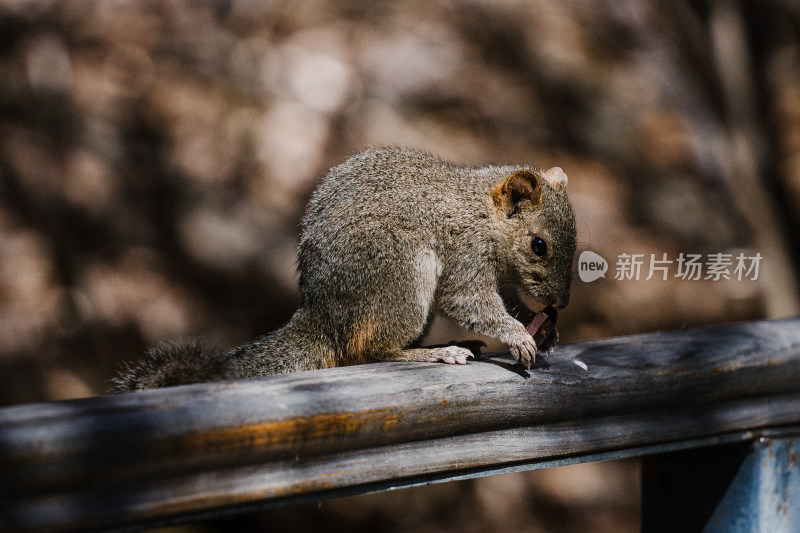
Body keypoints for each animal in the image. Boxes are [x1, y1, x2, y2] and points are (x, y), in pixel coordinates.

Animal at [112, 147, 576, 390]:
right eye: (538, 245)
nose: (560, 303)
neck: (482, 212)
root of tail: (325, 316)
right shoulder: (466, 254)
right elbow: (468, 301)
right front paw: (518, 335)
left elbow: (509, 298)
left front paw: (541, 325)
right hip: (402, 275)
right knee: (372, 350)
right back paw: (436, 352)